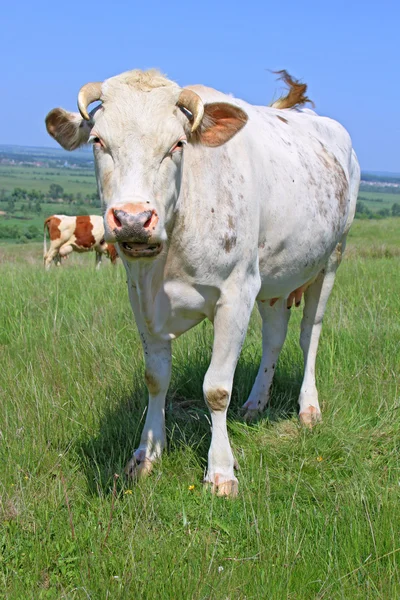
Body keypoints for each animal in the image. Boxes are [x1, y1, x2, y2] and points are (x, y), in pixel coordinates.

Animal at [45, 69, 360, 496]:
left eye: (177, 144)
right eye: (98, 141)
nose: (132, 219)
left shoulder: (236, 293)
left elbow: (216, 388)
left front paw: (221, 470)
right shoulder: (140, 297)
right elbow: (156, 378)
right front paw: (146, 454)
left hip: (330, 259)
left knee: (310, 334)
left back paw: (308, 407)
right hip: (275, 278)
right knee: (275, 336)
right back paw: (256, 402)